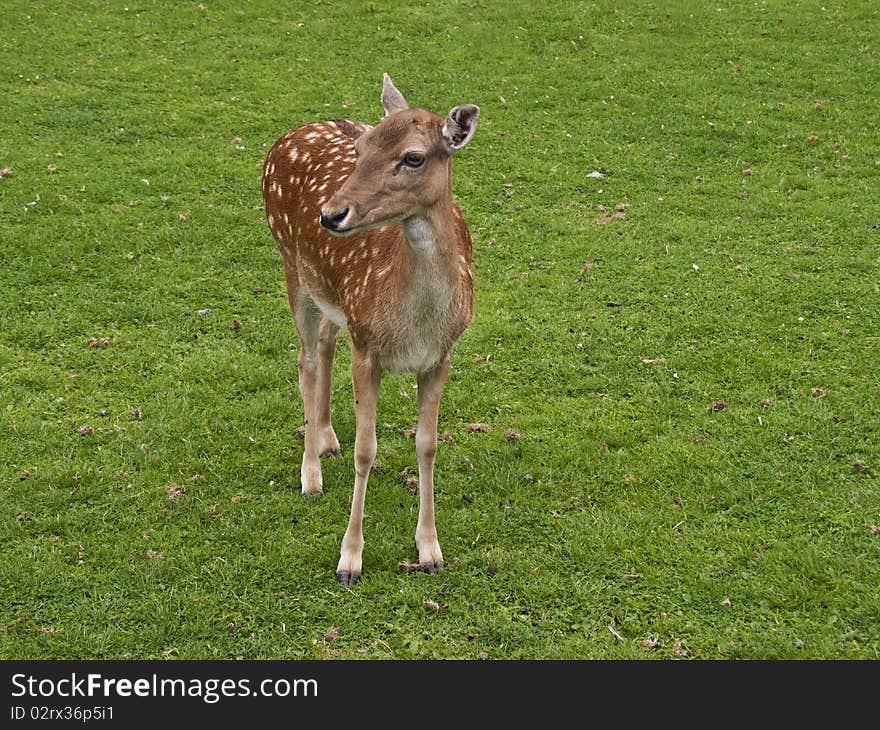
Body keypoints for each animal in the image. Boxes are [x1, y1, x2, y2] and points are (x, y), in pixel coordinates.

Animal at [262, 74, 482, 584]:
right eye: (361, 149)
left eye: (414, 157)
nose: (330, 214)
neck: (416, 323)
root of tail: (290, 136)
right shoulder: (367, 348)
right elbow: (367, 450)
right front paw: (349, 559)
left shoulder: (440, 356)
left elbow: (427, 446)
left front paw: (430, 549)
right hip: (292, 266)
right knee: (304, 358)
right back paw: (311, 473)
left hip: (333, 295)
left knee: (325, 342)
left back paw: (326, 436)